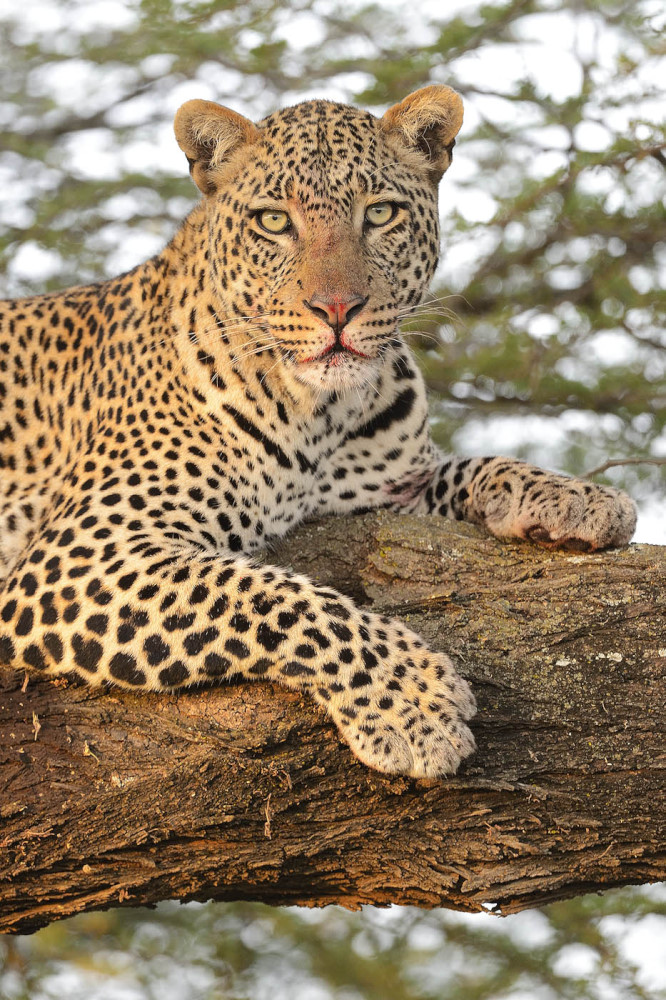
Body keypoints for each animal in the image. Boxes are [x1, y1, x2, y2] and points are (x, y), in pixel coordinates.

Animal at [0, 86, 632, 776]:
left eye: (380, 214)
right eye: (275, 222)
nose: (336, 310)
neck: (317, 411)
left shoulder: (386, 492)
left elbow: (471, 465)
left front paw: (578, 498)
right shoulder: (82, 549)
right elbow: (268, 595)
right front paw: (412, 703)